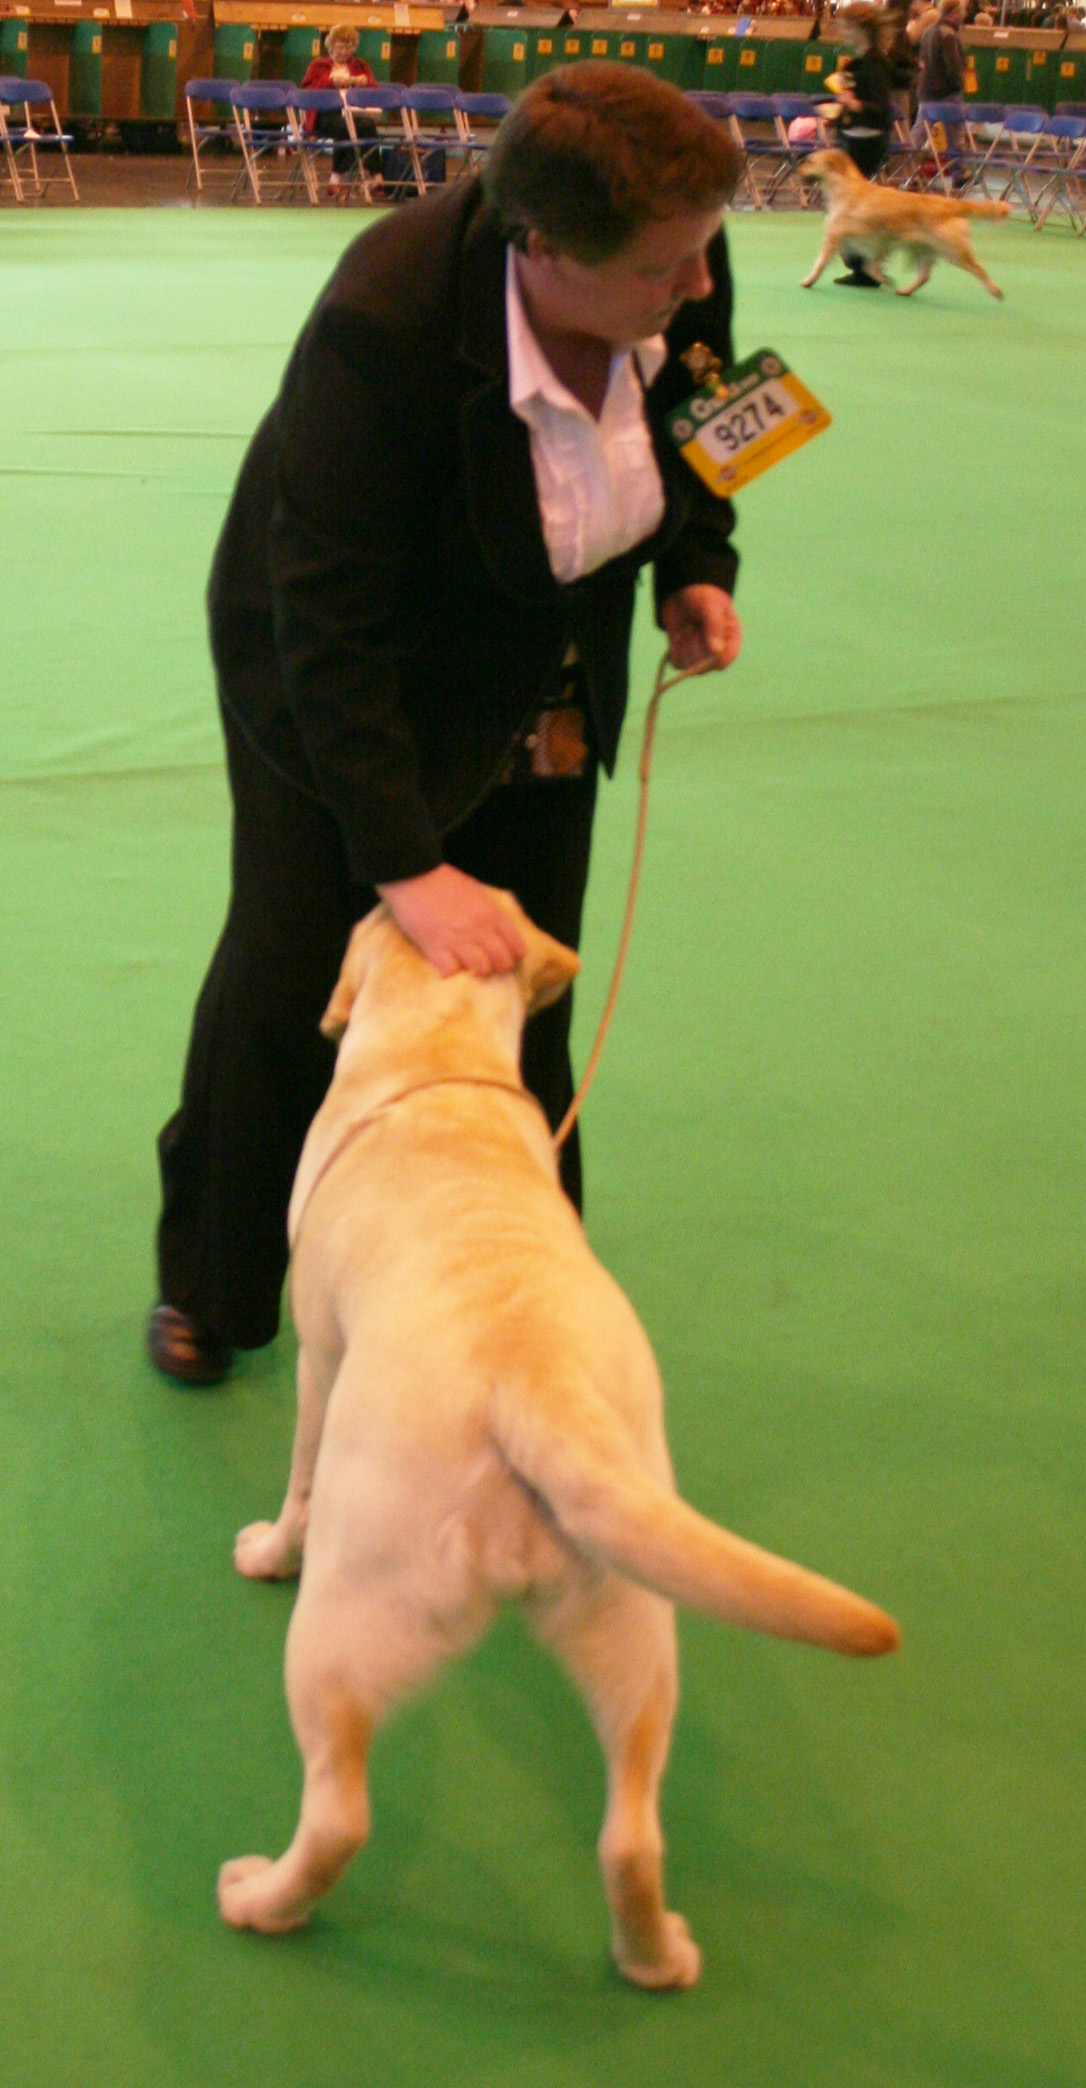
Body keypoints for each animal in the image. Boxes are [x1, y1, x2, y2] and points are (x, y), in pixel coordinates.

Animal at [218, 897, 898, 1987]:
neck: (439, 1059)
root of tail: (530, 1385)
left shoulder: (320, 1354)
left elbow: (298, 1482)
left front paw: (266, 1549)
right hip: (633, 1623)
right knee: (632, 1838)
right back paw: (657, 1958)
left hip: (339, 1630)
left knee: (338, 1818)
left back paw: (259, 1900)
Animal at [797, 147, 1010, 300]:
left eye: (810, 161)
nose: (797, 168)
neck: (842, 185)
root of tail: (952, 204)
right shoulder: (878, 242)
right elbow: (870, 265)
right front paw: (884, 278)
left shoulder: (841, 235)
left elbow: (821, 262)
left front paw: (808, 281)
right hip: (925, 249)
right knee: (924, 276)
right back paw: (905, 291)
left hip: (953, 250)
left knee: (978, 268)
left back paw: (996, 291)